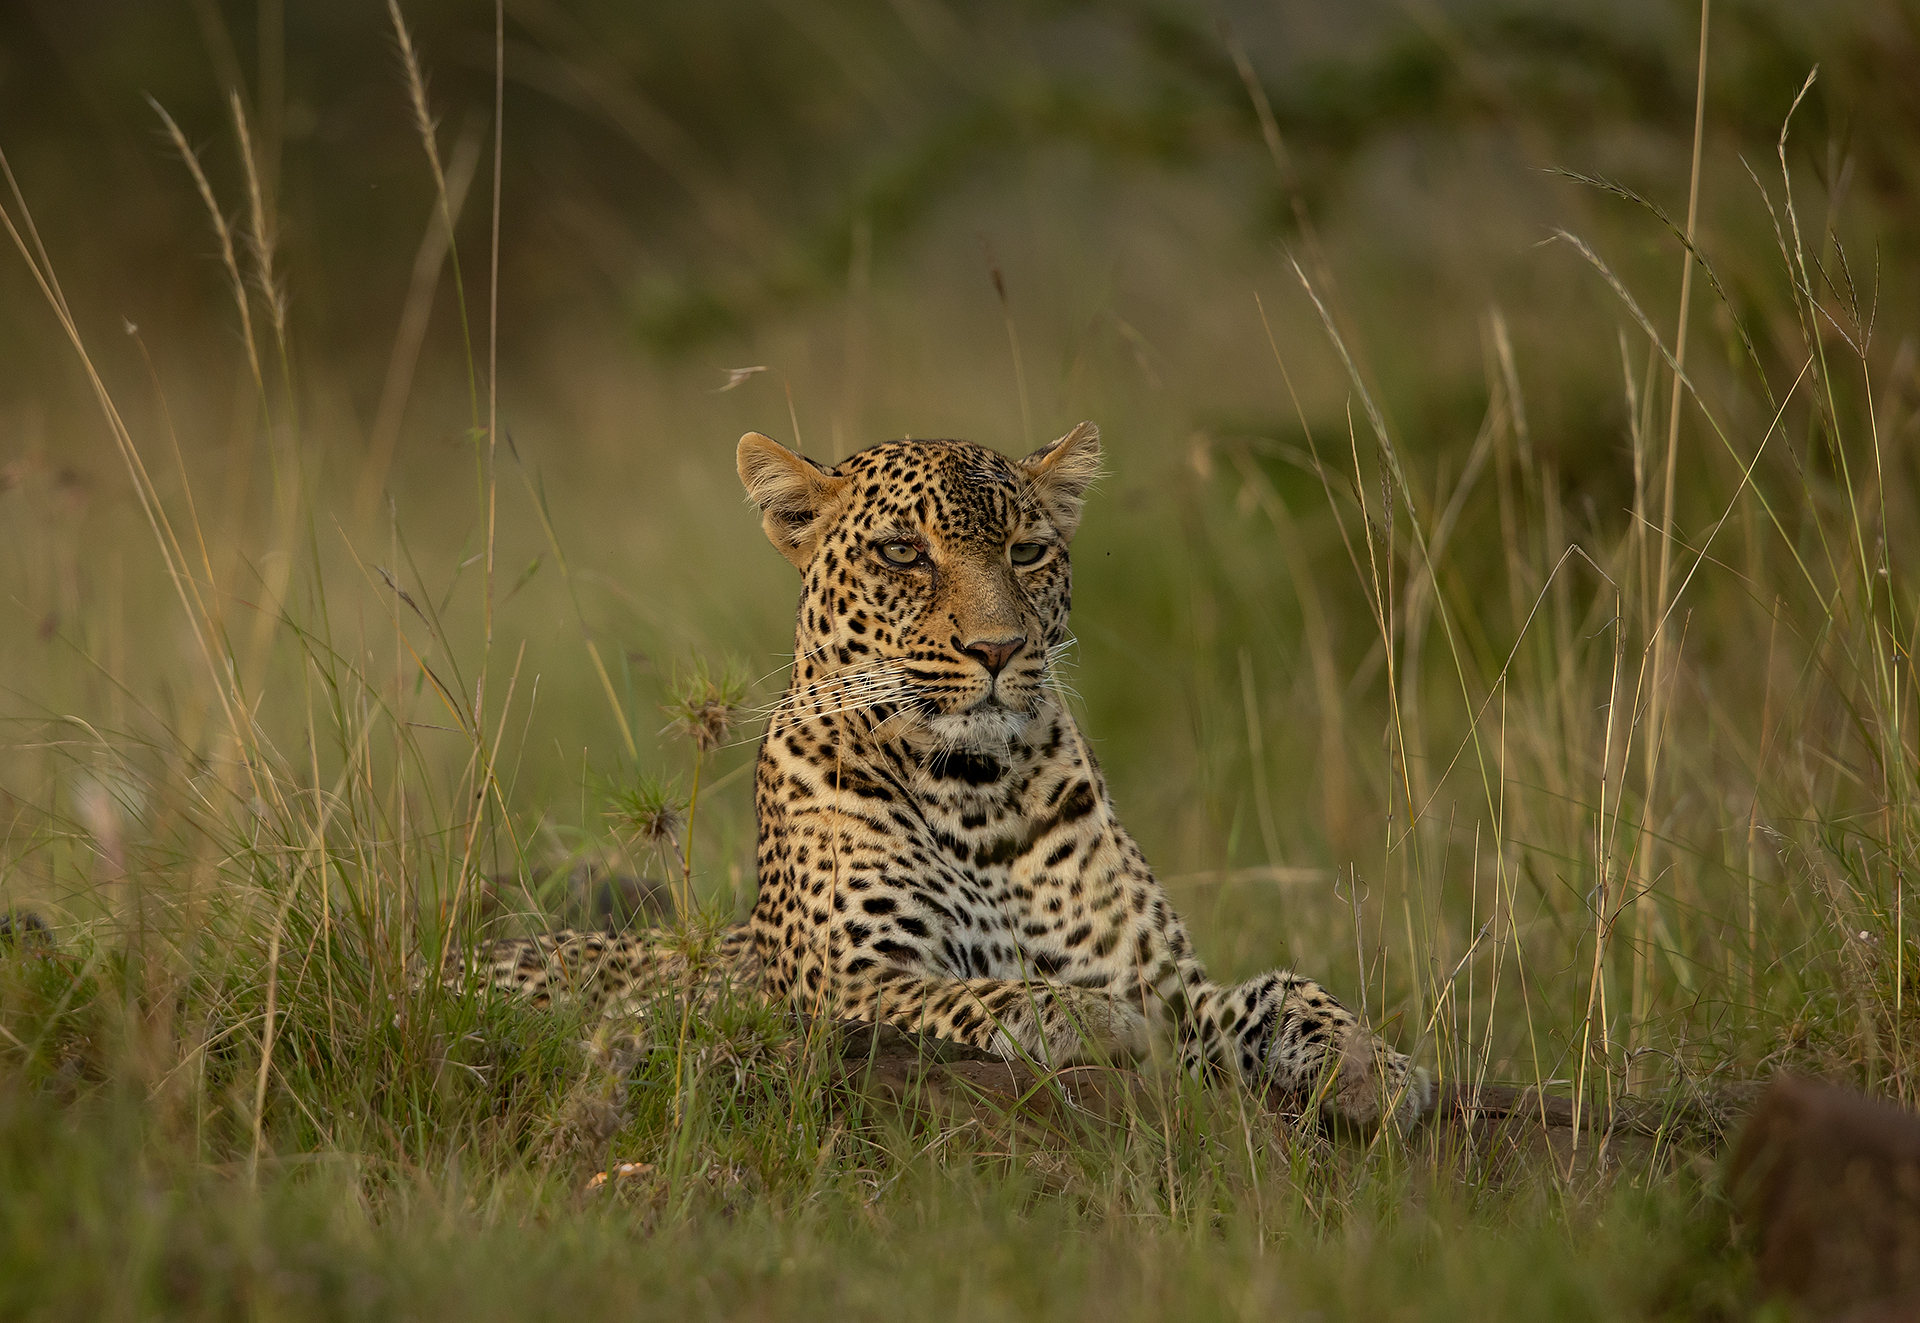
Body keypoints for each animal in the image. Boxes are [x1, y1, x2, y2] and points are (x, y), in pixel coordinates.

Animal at [459, 422, 1430, 1127]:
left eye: (1029, 552)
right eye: (903, 553)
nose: (997, 648)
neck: (979, 792)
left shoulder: (1169, 981)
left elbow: (1288, 989)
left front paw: (1380, 1069)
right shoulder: (837, 983)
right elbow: (969, 992)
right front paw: (1088, 1018)